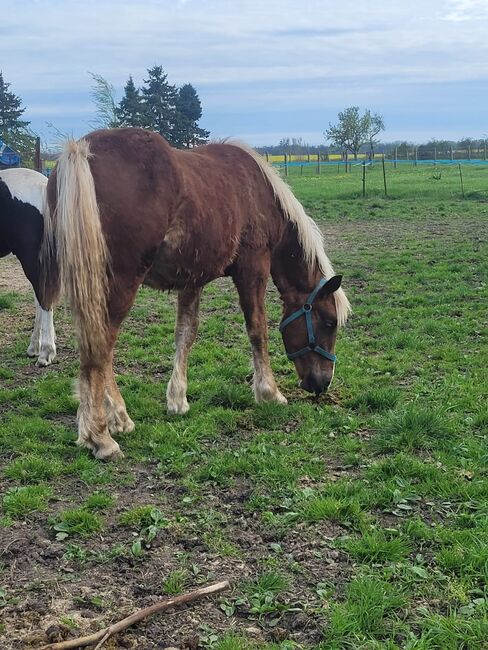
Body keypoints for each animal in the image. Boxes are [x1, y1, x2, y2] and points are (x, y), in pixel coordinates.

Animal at [41, 129, 346, 458]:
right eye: (329, 322)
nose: (322, 383)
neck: (260, 193)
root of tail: (81, 150)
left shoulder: (192, 280)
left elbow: (185, 334)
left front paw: (178, 400)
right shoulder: (253, 269)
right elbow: (257, 330)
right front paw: (269, 393)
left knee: (99, 349)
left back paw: (118, 419)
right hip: (120, 284)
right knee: (100, 348)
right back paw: (100, 436)